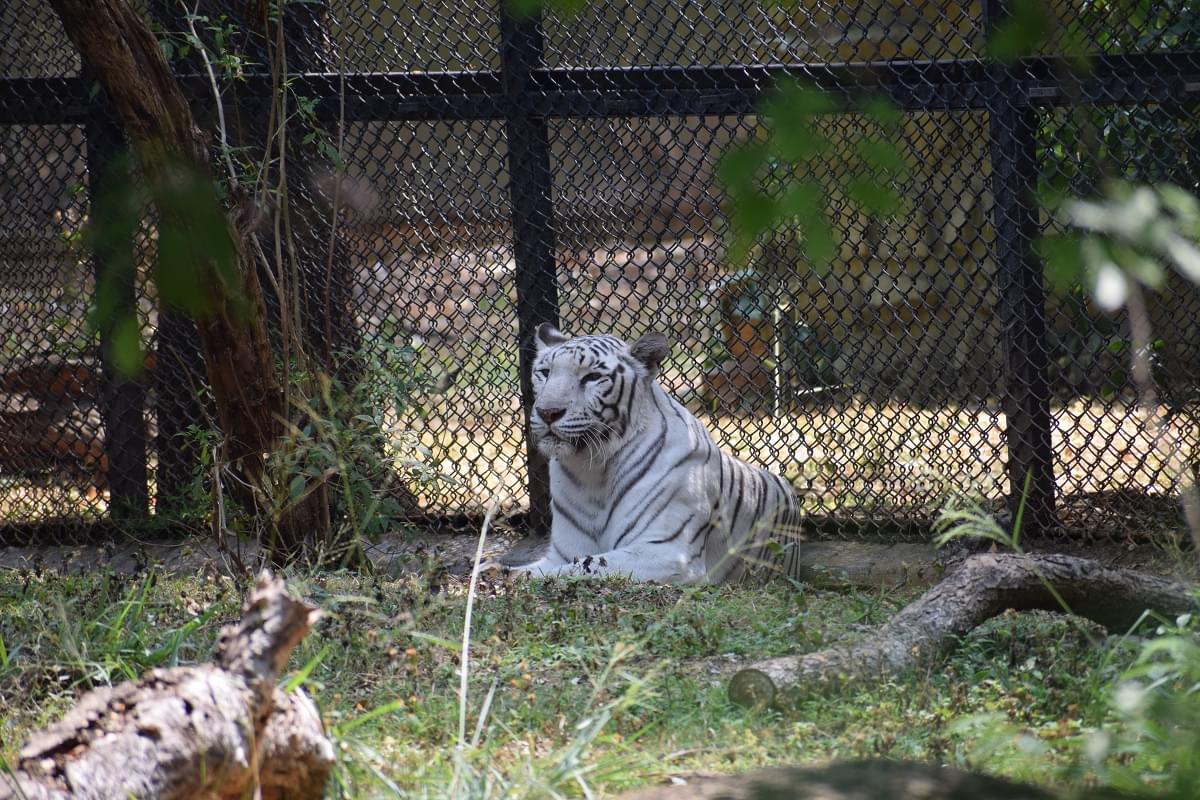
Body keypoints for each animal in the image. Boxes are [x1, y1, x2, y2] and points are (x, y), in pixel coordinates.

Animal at [511, 321, 801, 585]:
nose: (548, 412)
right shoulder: (562, 552)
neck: (590, 470)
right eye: (545, 373)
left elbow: (580, 567)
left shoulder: (669, 552)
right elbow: (541, 568)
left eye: (592, 377)